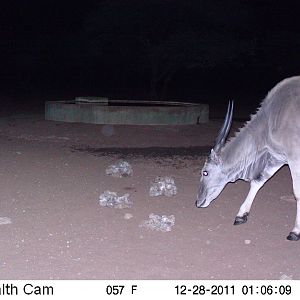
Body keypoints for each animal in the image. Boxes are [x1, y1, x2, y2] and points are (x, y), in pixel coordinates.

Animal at [196, 76, 300, 240]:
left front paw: (295, 231)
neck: (271, 118)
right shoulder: (277, 158)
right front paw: (241, 215)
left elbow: (297, 192)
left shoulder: (294, 158)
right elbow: (258, 181)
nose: (198, 202)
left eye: (205, 172)